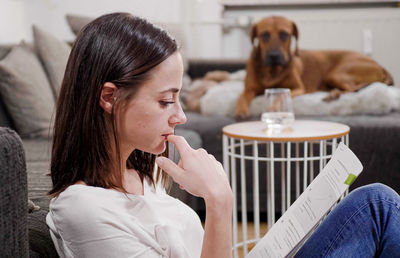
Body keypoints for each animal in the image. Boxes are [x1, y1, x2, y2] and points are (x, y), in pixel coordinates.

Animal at [234, 16, 394, 119]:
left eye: (284, 34)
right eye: (264, 35)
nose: (274, 55)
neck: (272, 71)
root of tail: (381, 66)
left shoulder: (298, 88)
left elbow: (280, 95)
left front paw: (274, 108)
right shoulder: (250, 89)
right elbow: (242, 96)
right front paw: (240, 110)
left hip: (336, 74)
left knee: (353, 89)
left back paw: (333, 94)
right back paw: (333, 93)